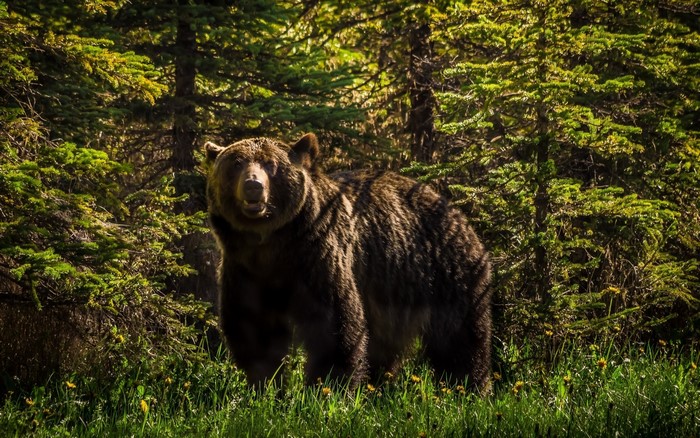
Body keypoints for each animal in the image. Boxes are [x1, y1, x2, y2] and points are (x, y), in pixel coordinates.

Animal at [204, 133, 492, 391]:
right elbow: (255, 328)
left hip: (448, 272)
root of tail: (457, 212)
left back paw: (469, 386)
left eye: (271, 164)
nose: (253, 185)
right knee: (386, 343)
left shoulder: (318, 258)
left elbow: (334, 324)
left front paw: (327, 387)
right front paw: (265, 385)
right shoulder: (245, 270)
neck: (273, 245)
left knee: (460, 338)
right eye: (237, 163)